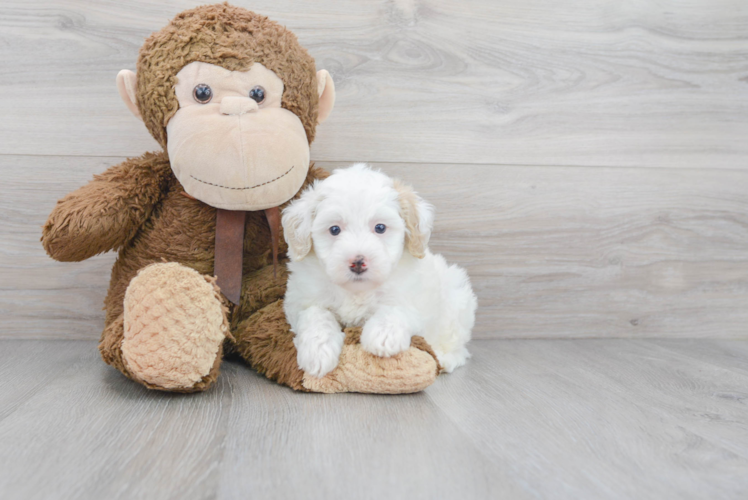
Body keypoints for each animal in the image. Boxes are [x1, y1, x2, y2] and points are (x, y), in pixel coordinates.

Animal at [280, 164, 480, 378]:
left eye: (380, 228)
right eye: (334, 230)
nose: (358, 262)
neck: (357, 290)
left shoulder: (412, 296)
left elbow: (396, 309)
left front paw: (383, 335)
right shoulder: (302, 300)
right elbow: (315, 316)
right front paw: (318, 351)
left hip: (456, 297)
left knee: (456, 344)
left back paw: (445, 359)